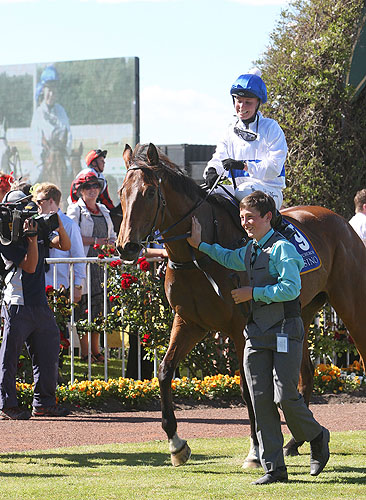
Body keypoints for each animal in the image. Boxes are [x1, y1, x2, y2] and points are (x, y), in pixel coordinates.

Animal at [117, 144, 366, 468]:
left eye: (148, 192)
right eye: (121, 192)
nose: (126, 246)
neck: (197, 256)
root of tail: (342, 222)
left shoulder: (240, 329)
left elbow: (249, 388)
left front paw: (255, 452)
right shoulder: (189, 323)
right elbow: (164, 371)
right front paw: (176, 444)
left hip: (351, 305)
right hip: (300, 313)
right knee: (305, 373)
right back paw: (295, 442)